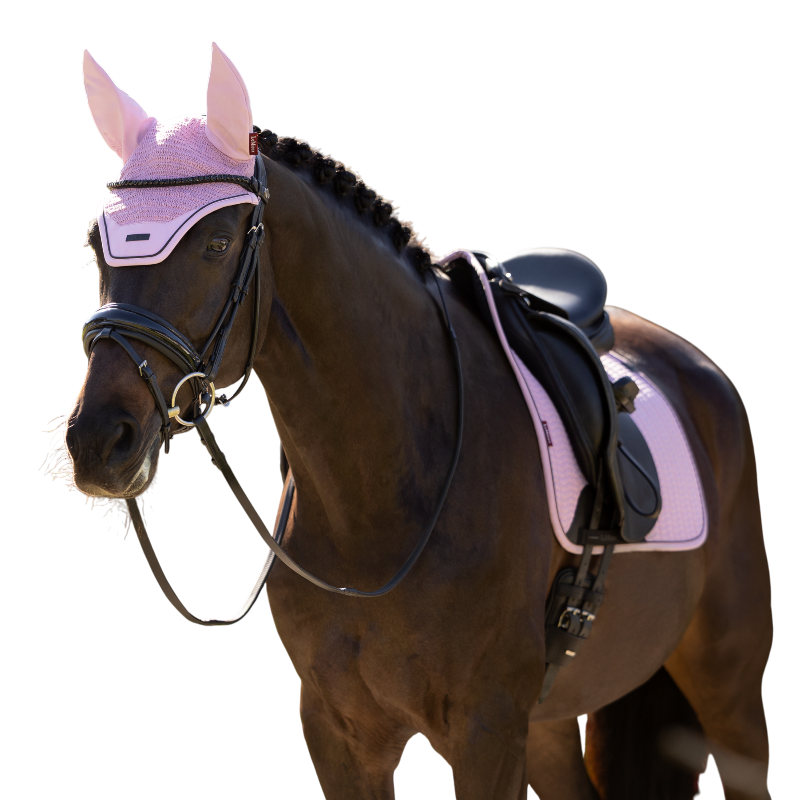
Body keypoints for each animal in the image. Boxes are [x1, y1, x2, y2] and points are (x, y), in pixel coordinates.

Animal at [56, 46, 771, 800]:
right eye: (96, 244)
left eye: (218, 243)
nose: (99, 441)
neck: (380, 498)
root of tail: (693, 364)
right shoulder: (339, 734)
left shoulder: (487, 734)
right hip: (550, 726)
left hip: (729, 693)